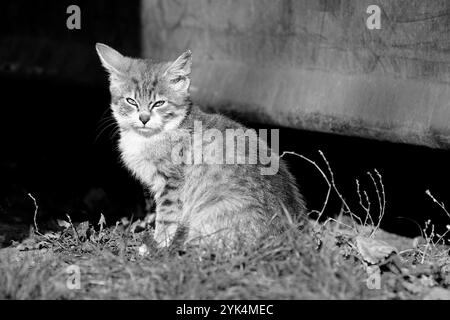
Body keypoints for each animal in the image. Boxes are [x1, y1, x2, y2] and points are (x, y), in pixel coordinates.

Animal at [94, 43, 306, 248]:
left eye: (159, 103)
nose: (144, 118)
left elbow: (166, 217)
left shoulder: (171, 183)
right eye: (131, 101)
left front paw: (158, 245)